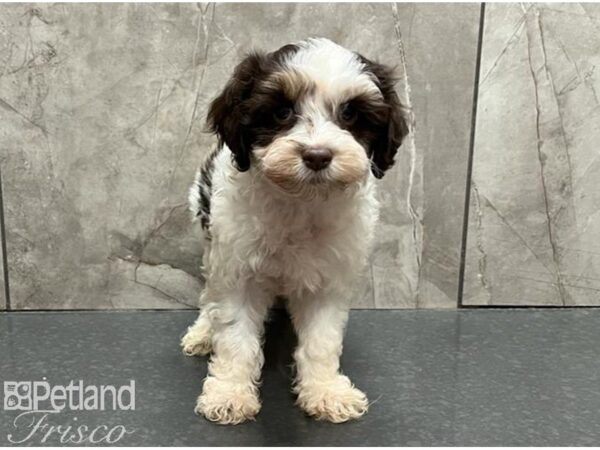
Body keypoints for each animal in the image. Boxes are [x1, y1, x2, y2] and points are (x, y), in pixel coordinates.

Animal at [180, 37, 410, 424]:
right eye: (282, 113)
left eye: (350, 115)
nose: (317, 155)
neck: (301, 202)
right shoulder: (238, 269)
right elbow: (235, 336)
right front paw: (229, 393)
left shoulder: (328, 278)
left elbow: (321, 340)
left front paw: (325, 391)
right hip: (210, 238)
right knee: (210, 294)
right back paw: (202, 333)